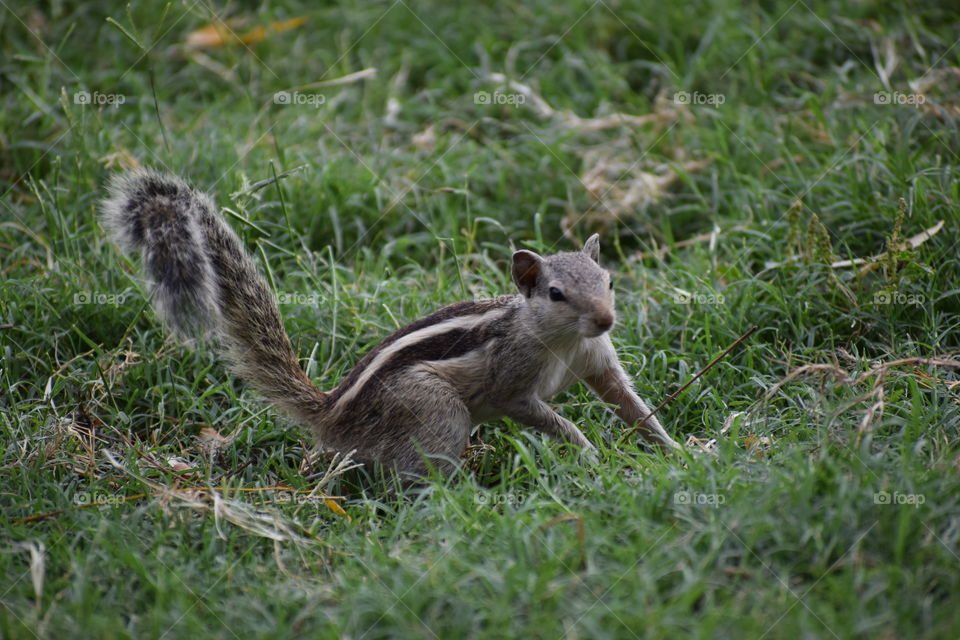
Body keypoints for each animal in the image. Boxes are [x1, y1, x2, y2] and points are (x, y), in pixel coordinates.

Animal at [101, 169, 681, 480]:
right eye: (556, 293)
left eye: (608, 280)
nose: (605, 319)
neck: (564, 339)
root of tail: (331, 415)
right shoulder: (512, 383)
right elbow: (544, 414)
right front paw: (589, 453)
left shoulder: (598, 361)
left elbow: (630, 405)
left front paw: (678, 452)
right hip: (436, 412)